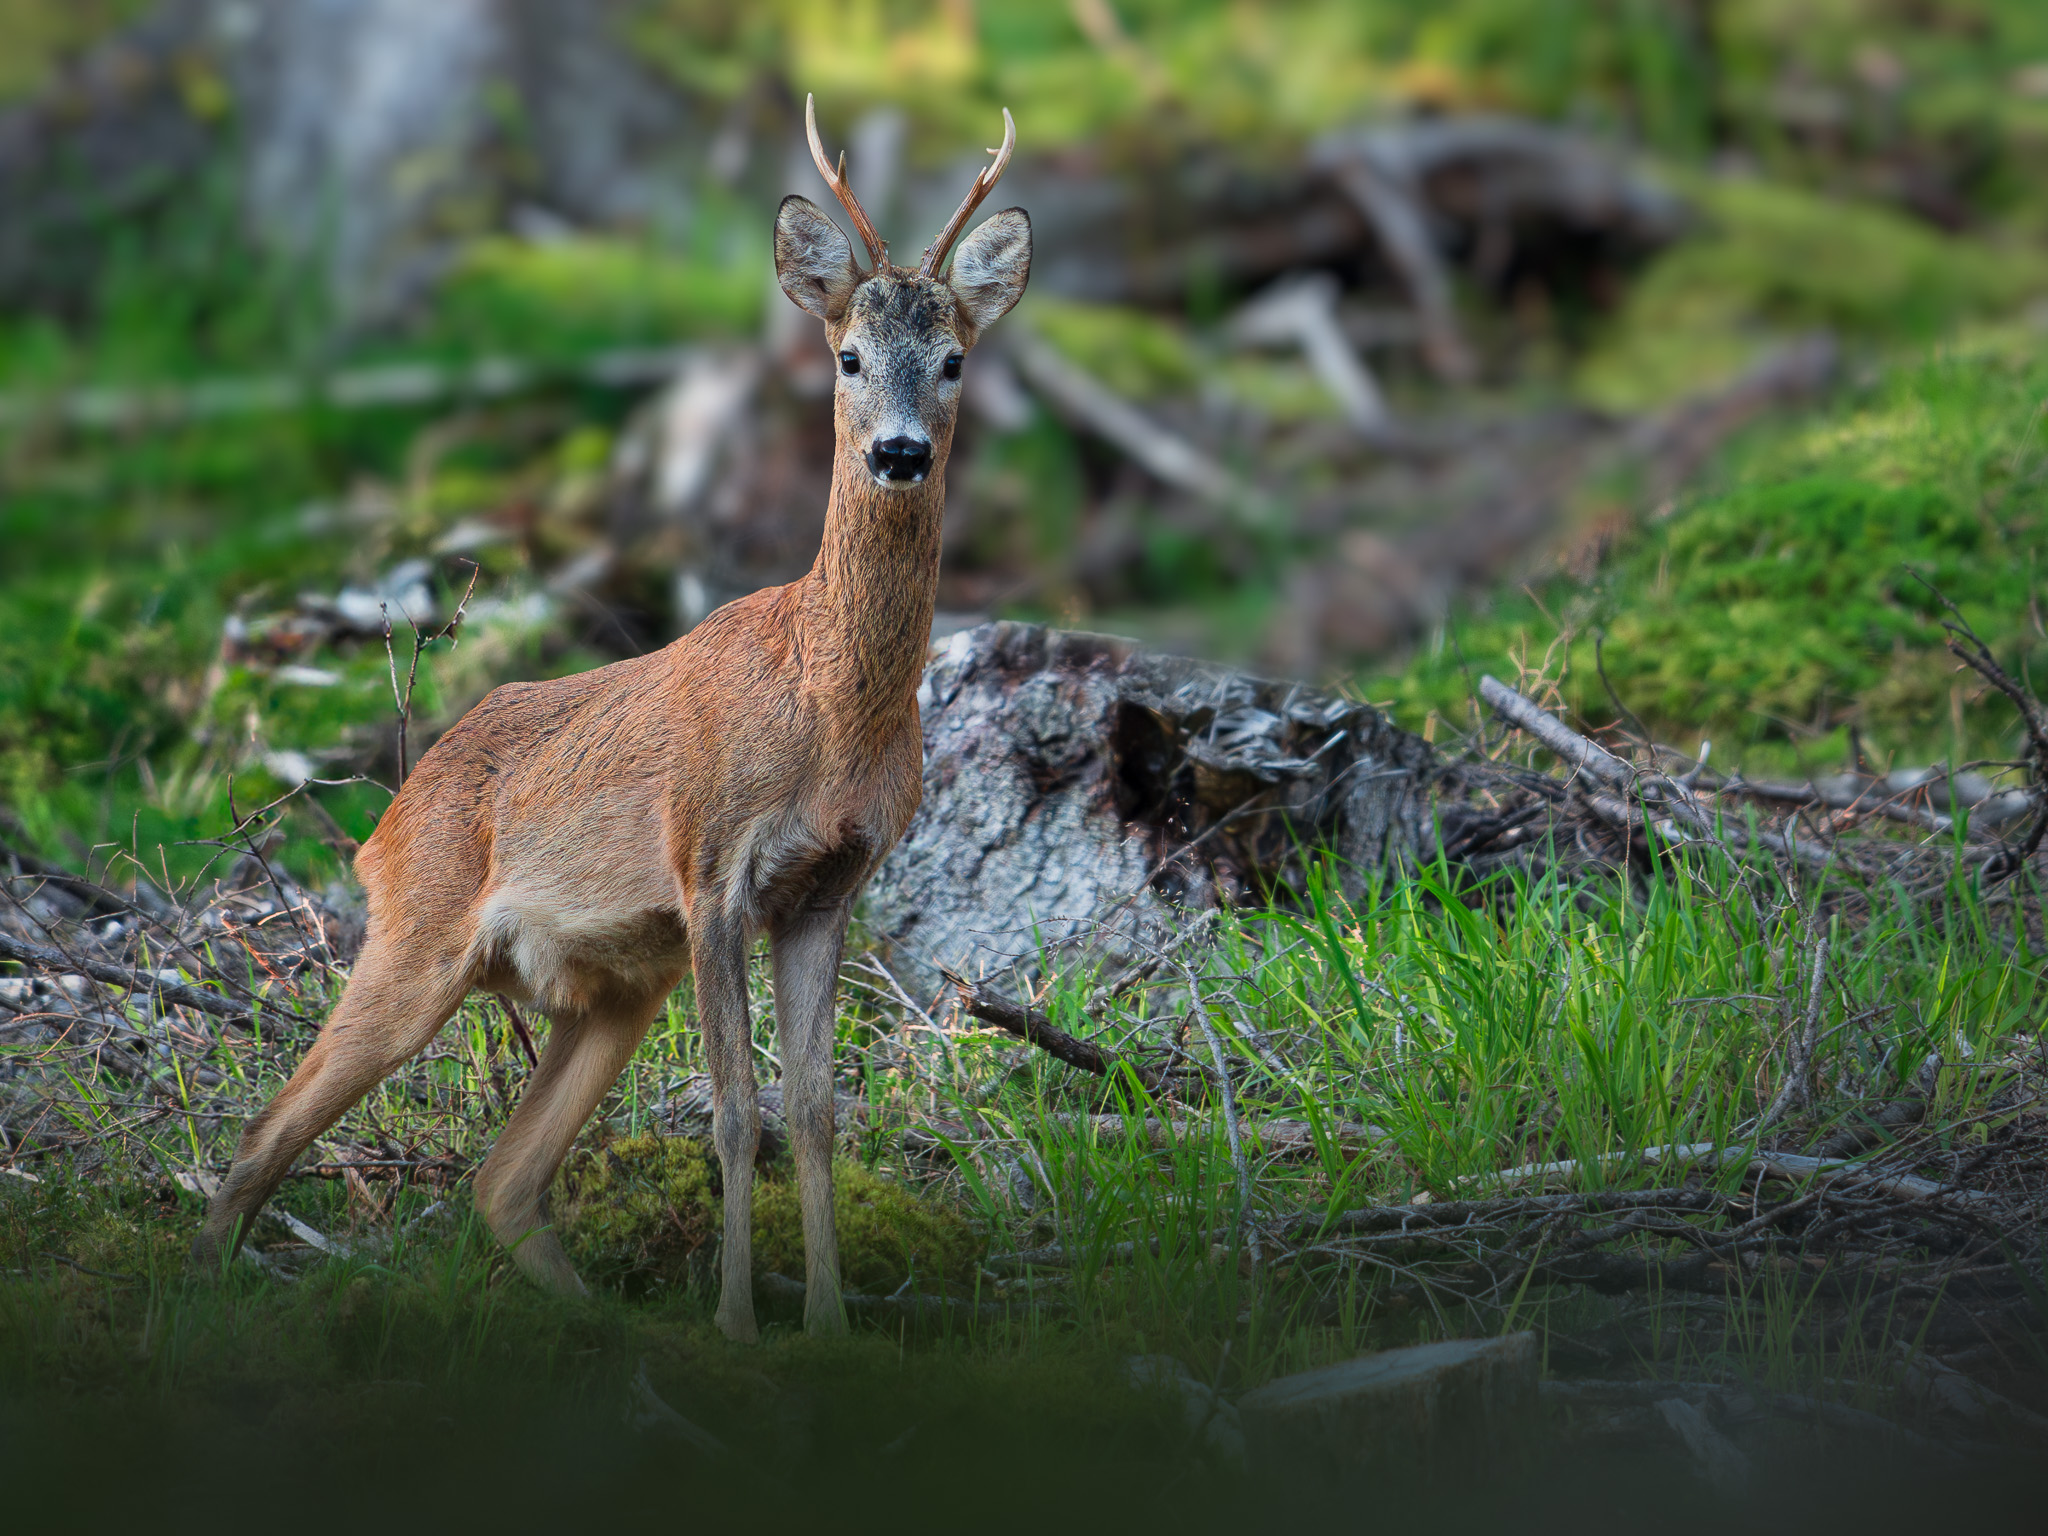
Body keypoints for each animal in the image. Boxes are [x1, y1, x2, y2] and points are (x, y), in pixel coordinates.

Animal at [190, 97, 1031, 1342]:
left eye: (954, 359)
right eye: (845, 356)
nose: (898, 452)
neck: (828, 712)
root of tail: (385, 823)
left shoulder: (826, 889)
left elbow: (814, 1111)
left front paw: (829, 1326)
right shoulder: (711, 866)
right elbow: (736, 1112)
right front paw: (738, 1324)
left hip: (616, 991)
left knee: (502, 1179)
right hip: (415, 940)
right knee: (259, 1139)